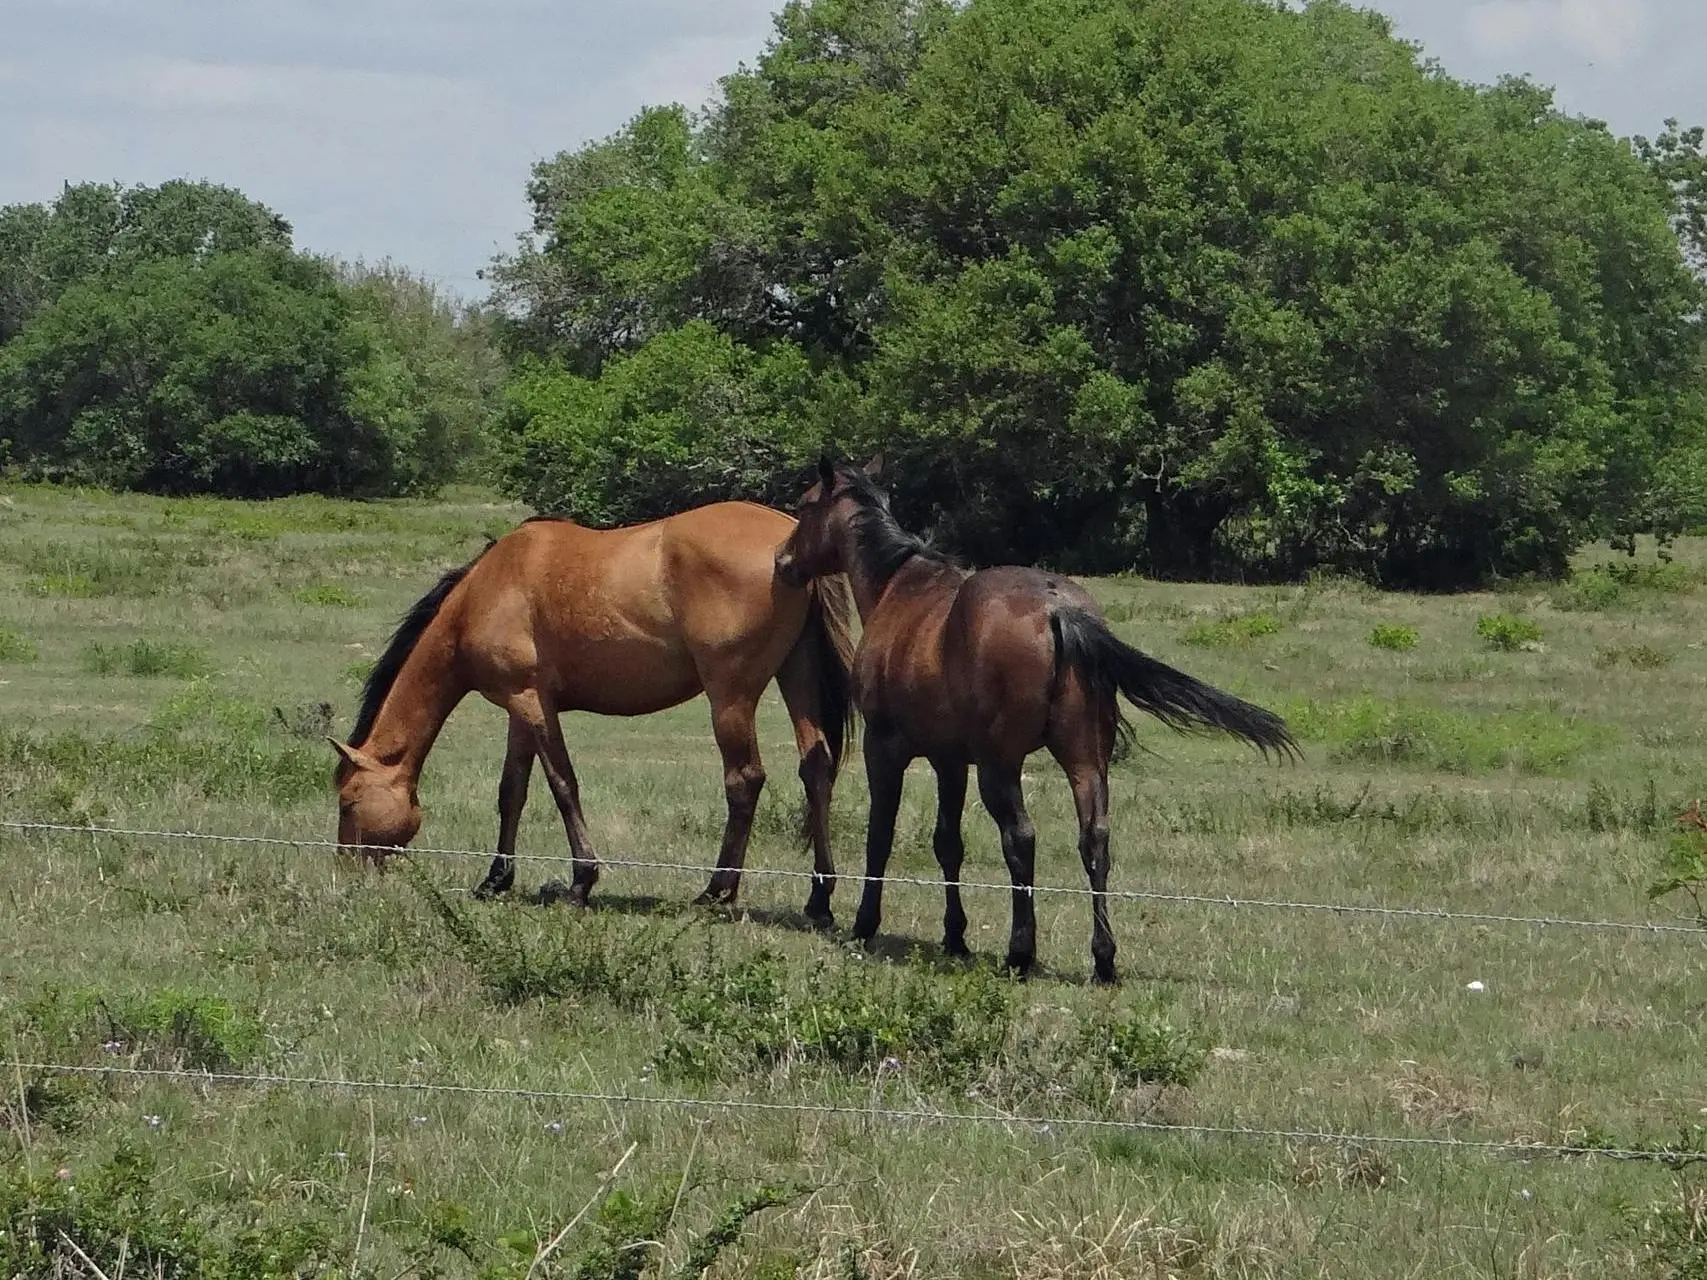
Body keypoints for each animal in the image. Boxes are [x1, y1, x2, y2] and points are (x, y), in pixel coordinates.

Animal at [331, 501, 860, 921]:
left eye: (349, 801)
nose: (347, 869)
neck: (488, 590)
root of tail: (790, 536)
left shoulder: (532, 704)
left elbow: (563, 786)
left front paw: (581, 882)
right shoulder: (520, 710)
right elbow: (511, 793)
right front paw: (496, 879)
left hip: (731, 695)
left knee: (744, 780)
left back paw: (716, 892)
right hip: (797, 676)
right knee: (815, 769)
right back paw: (819, 899)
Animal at [774, 457, 1290, 989]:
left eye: (804, 506)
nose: (782, 561)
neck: (900, 590)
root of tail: (1058, 610)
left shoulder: (887, 748)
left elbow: (881, 835)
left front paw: (864, 923)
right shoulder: (949, 760)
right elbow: (947, 844)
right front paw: (954, 936)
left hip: (1000, 767)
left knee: (1021, 840)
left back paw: (1020, 951)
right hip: (1085, 763)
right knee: (1095, 840)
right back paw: (1103, 959)